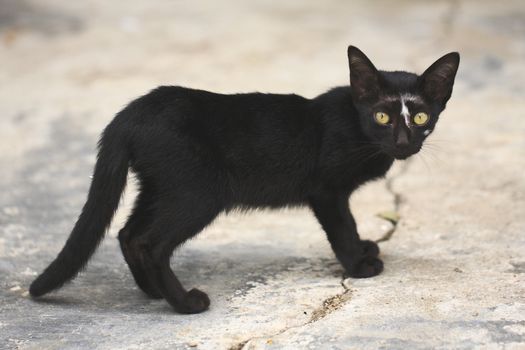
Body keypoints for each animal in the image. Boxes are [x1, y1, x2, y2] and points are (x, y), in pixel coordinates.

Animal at [30, 45, 458, 312]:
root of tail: (130, 113)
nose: (402, 143)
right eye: (382, 116)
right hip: (197, 193)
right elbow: (343, 228)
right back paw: (184, 304)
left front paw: (366, 248)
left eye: (421, 117)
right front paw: (358, 264)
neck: (358, 126)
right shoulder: (327, 191)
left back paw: (153, 292)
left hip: (159, 187)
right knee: (149, 242)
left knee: (128, 234)